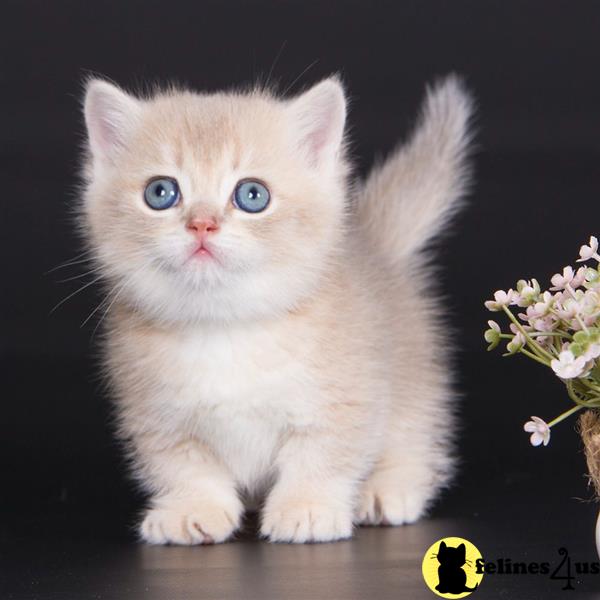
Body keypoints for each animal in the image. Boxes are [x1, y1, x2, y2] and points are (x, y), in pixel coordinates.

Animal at [79, 71, 474, 544]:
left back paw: (388, 488)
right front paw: (193, 508)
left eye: (252, 195)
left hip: (415, 383)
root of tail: (374, 248)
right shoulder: (156, 418)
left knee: (414, 436)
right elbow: (184, 466)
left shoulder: (347, 397)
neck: (225, 328)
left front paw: (306, 508)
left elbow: (322, 455)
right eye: (161, 192)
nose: (202, 223)